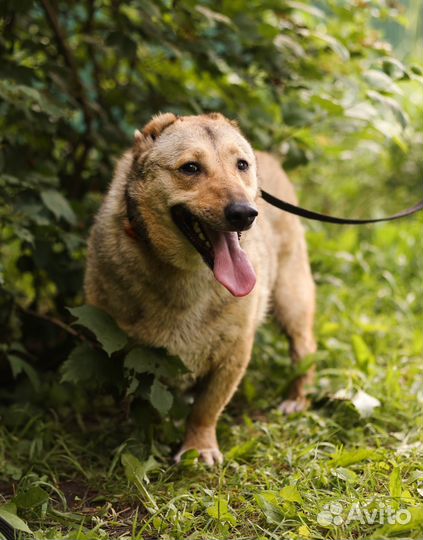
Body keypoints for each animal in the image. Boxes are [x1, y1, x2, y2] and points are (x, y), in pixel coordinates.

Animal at [84, 113, 316, 464]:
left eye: (242, 165)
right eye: (191, 168)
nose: (245, 213)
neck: (191, 274)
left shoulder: (235, 352)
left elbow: (207, 409)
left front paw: (199, 447)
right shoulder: (121, 347)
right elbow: (137, 402)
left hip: (292, 301)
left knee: (305, 351)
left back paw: (297, 398)